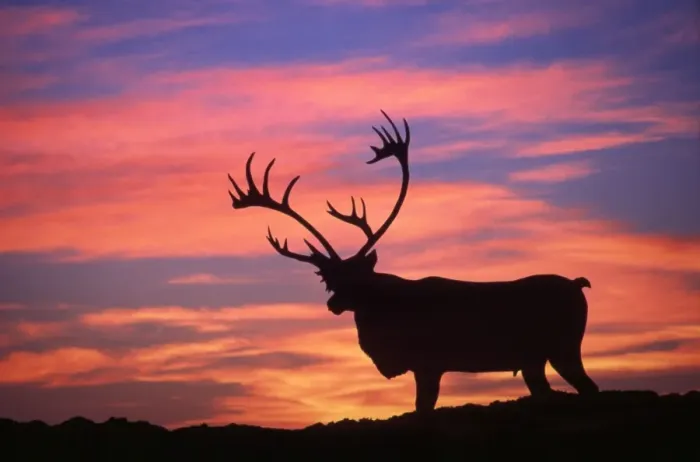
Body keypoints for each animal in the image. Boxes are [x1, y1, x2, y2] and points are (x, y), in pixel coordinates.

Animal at [226, 110, 600, 415]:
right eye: (329, 280)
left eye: (360, 276)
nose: (333, 305)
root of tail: (578, 284)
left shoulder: (429, 363)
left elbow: (423, 408)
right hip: (534, 357)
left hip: (564, 346)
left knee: (590, 388)